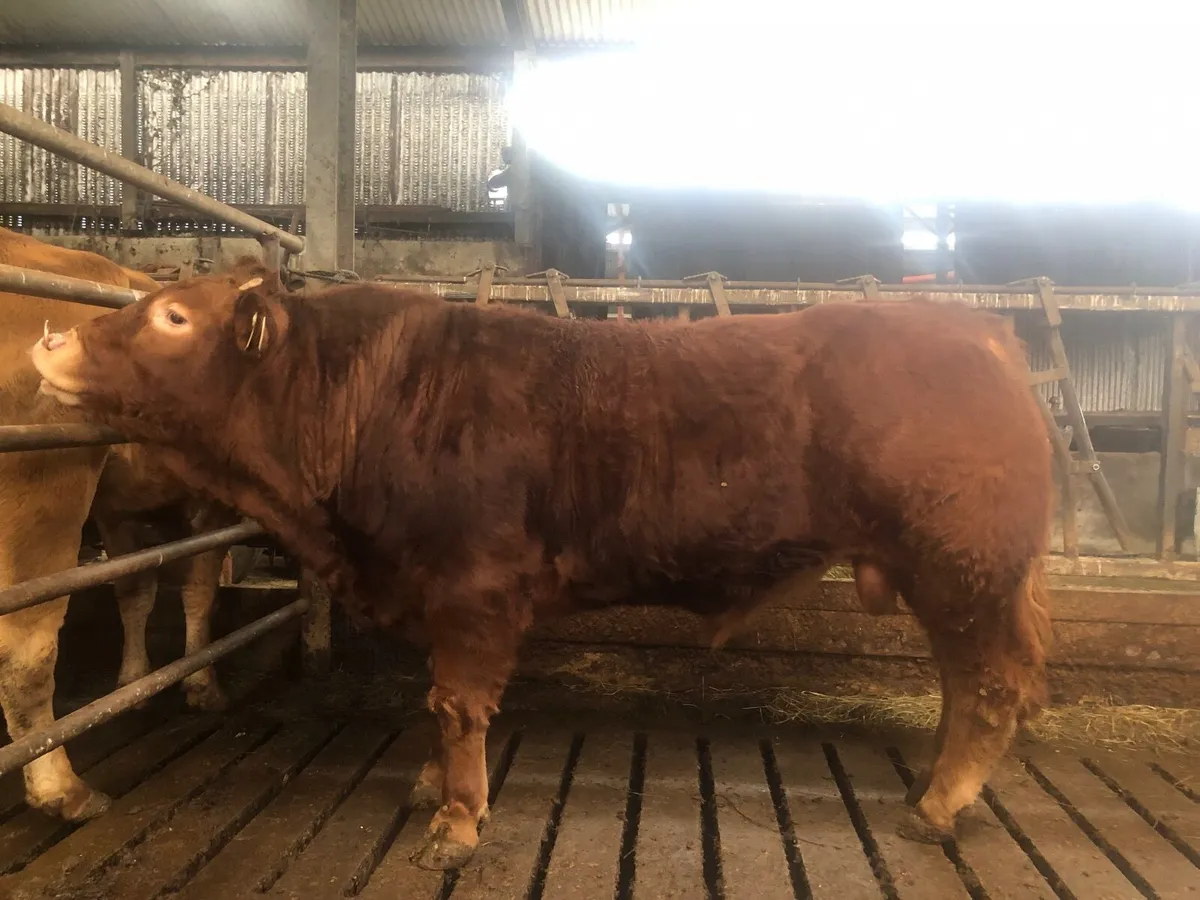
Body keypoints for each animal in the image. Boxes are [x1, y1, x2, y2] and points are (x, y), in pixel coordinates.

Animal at [0, 228, 240, 823]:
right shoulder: (206, 505)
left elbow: (135, 590)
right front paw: (199, 679)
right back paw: (62, 786)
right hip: (47, 494)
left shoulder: (120, 508)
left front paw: (136, 680)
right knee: (27, 648)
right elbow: (197, 589)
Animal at [30, 271, 1054, 870]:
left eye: (173, 316)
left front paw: (454, 824)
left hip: (964, 568)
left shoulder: (475, 590)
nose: (50, 339)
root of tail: (980, 333)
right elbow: (435, 702)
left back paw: (939, 806)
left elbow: (456, 704)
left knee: (991, 685)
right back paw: (933, 785)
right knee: (965, 686)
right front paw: (430, 787)